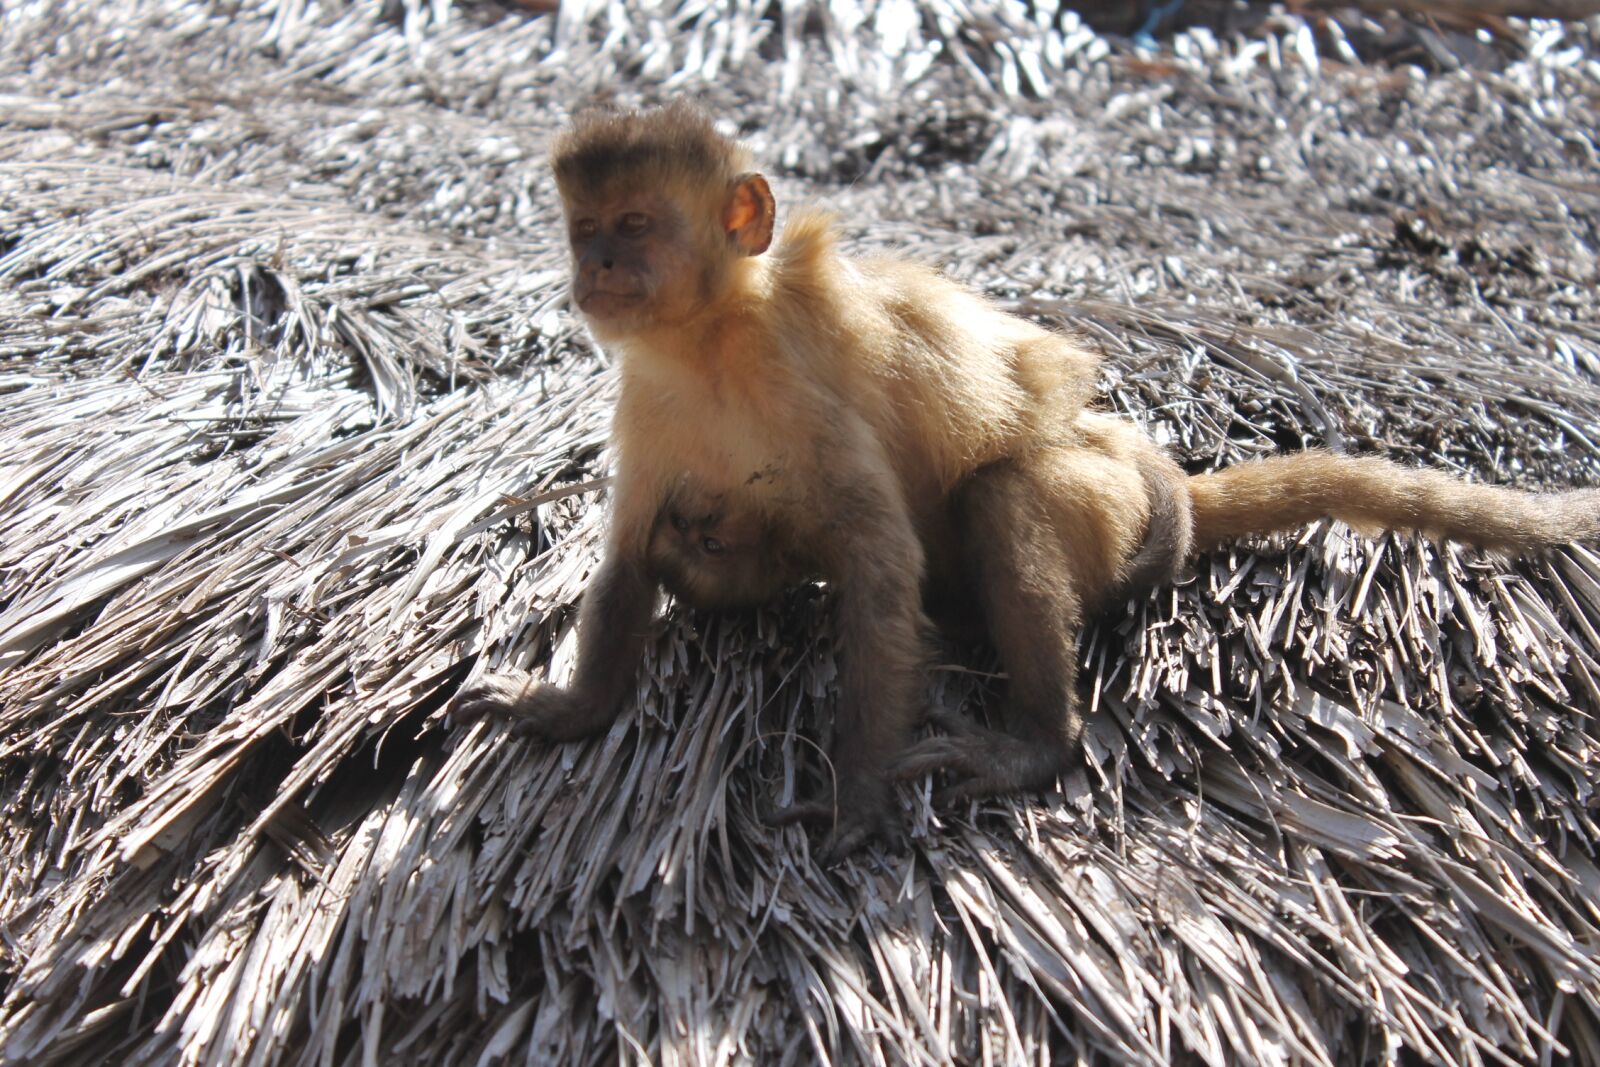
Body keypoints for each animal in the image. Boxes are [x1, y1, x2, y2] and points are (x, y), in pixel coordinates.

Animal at [455, 101, 1600, 860]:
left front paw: (855, 797)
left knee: (1001, 492)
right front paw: (574, 708)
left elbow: (882, 570)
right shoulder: (646, 396)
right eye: (584, 231)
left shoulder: (794, 368)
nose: (598, 271)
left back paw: (1041, 743)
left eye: (635, 228)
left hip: (1106, 496)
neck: (708, 341)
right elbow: (627, 556)